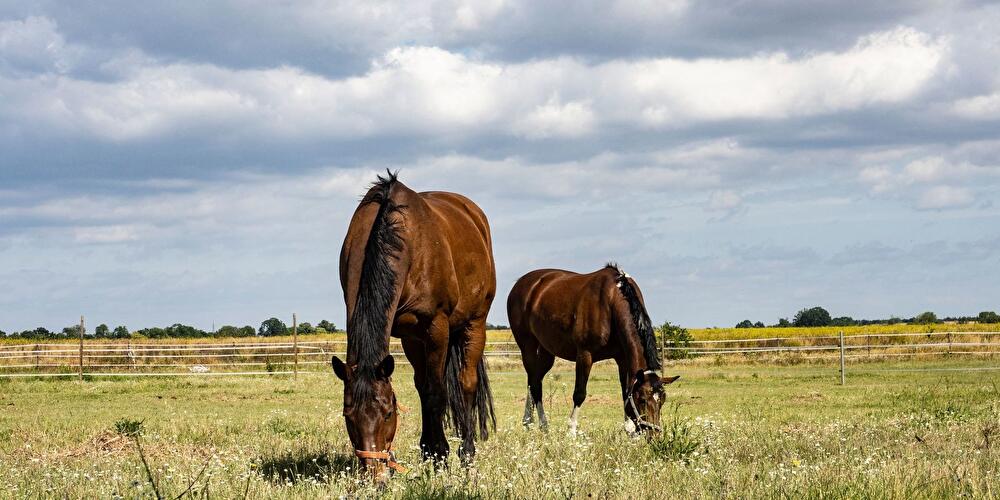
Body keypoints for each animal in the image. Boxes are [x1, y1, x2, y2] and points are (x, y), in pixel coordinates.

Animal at [331, 171, 496, 474]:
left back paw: (467, 452)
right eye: (348, 415)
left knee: (466, 383)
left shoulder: (436, 327)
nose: (375, 474)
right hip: (416, 339)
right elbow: (423, 388)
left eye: (388, 413)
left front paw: (440, 456)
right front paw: (428, 451)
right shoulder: (409, 334)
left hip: (474, 324)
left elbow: (435, 393)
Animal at [507, 263, 679, 436]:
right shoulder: (585, 355)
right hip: (527, 347)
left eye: (663, 400)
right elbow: (579, 393)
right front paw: (571, 431)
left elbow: (625, 393)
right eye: (642, 400)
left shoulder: (623, 359)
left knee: (534, 380)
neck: (611, 301)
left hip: (546, 352)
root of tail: (522, 283)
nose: (654, 434)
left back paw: (529, 422)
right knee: (535, 384)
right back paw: (542, 425)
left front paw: (629, 431)